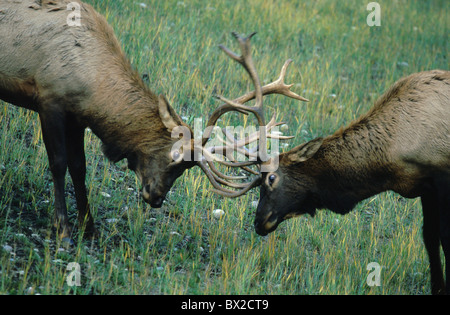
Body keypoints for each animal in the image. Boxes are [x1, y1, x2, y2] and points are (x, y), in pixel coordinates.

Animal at [0, 0, 308, 242]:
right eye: (176, 159)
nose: (157, 198)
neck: (92, 85)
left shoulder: (76, 116)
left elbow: (79, 167)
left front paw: (90, 228)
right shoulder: (49, 98)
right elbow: (59, 164)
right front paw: (62, 228)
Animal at [248, 70, 448, 296]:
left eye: (271, 178)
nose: (258, 221)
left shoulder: (442, 177)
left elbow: (445, 238)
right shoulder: (426, 187)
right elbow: (430, 238)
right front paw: (438, 288)